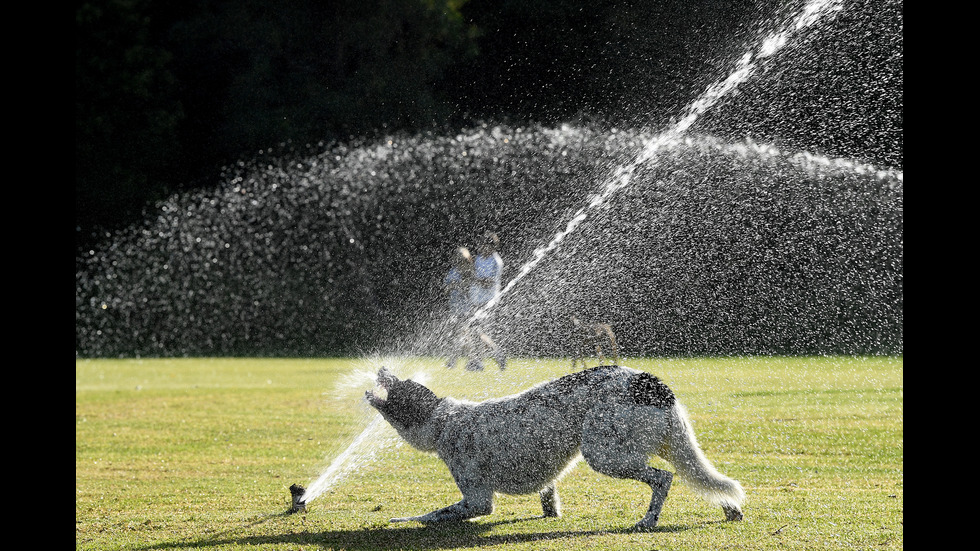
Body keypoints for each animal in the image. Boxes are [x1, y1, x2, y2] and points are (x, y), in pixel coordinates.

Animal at [366, 364, 744, 528]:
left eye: (396, 384)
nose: (381, 365)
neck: (443, 419)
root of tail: (651, 384)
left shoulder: (477, 501)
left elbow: (433, 514)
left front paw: (401, 520)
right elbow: (549, 497)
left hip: (605, 455)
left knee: (663, 479)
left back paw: (648, 521)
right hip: (674, 447)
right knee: (710, 482)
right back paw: (731, 510)